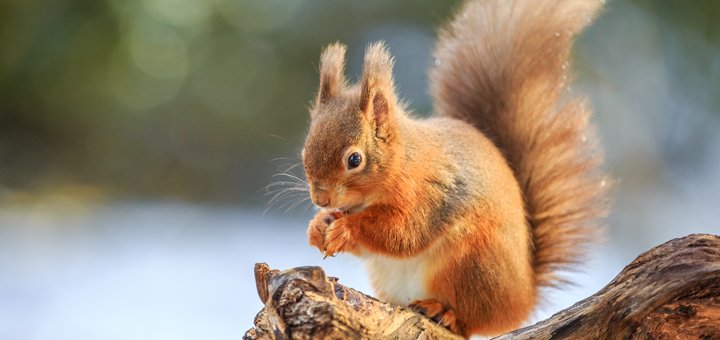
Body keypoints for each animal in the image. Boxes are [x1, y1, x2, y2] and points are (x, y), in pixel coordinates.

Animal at [300, 0, 612, 336]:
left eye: (354, 160)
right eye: (305, 151)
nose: (320, 199)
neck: (402, 162)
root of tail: (523, 299)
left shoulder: (430, 195)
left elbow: (402, 233)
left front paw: (346, 228)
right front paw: (318, 225)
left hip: (471, 265)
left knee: (468, 321)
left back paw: (444, 311)